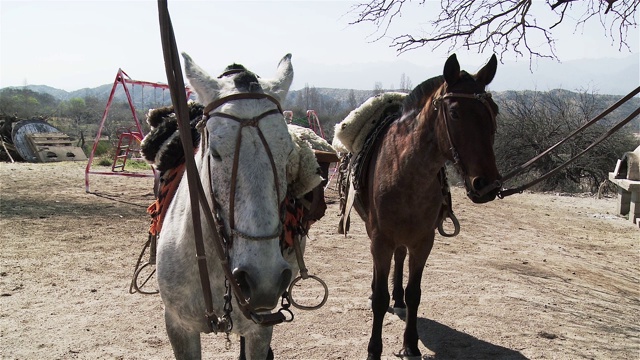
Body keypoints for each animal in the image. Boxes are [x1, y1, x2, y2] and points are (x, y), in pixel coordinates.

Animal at [344, 54, 500, 360]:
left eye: (494, 112)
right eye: (454, 113)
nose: (487, 185)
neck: (406, 171)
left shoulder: (423, 241)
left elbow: (415, 293)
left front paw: (411, 344)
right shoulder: (380, 239)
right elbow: (379, 299)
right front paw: (374, 350)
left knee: (400, 257)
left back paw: (398, 298)